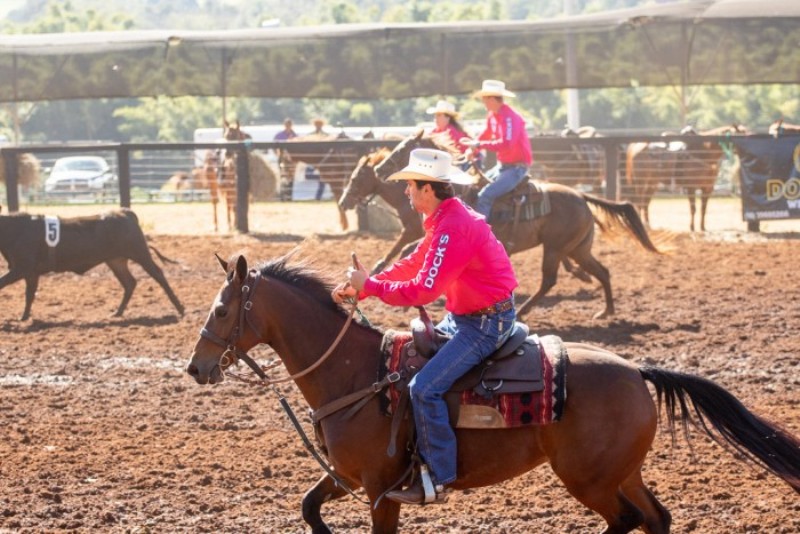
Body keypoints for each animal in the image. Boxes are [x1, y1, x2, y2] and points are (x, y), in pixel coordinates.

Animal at [0, 208, 186, 318]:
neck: (15, 229)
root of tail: (124, 213)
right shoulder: (31, 273)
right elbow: (29, 294)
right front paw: (24, 317)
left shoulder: (22, 268)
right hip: (116, 261)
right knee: (129, 282)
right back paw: (117, 312)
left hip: (140, 253)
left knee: (158, 275)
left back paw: (180, 308)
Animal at [186, 254, 800, 534]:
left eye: (220, 308)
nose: (195, 367)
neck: (358, 376)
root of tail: (636, 370)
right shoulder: (347, 478)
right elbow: (309, 507)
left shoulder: (382, 489)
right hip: (621, 472)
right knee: (656, 518)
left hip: (589, 478)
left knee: (626, 521)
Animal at [360, 132, 664, 320]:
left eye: (402, 148)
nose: (380, 169)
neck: (460, 191)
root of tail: (581, 196)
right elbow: (407, 250)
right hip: (578, 249)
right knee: (602, 271)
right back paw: (606, 311)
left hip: (555, 248)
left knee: (549, 280)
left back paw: (523, 311)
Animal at [620, 127, 748, 234]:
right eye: (742, 134)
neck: (702, 153)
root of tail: (635, 146)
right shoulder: (691, 187)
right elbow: (693, 208)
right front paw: (692, 227)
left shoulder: (708, 188)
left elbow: (703, 209)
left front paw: (702, 227)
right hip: (640, 183)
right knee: (639, 203)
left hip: (652, 184)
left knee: (645, 203)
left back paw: (648, 225)